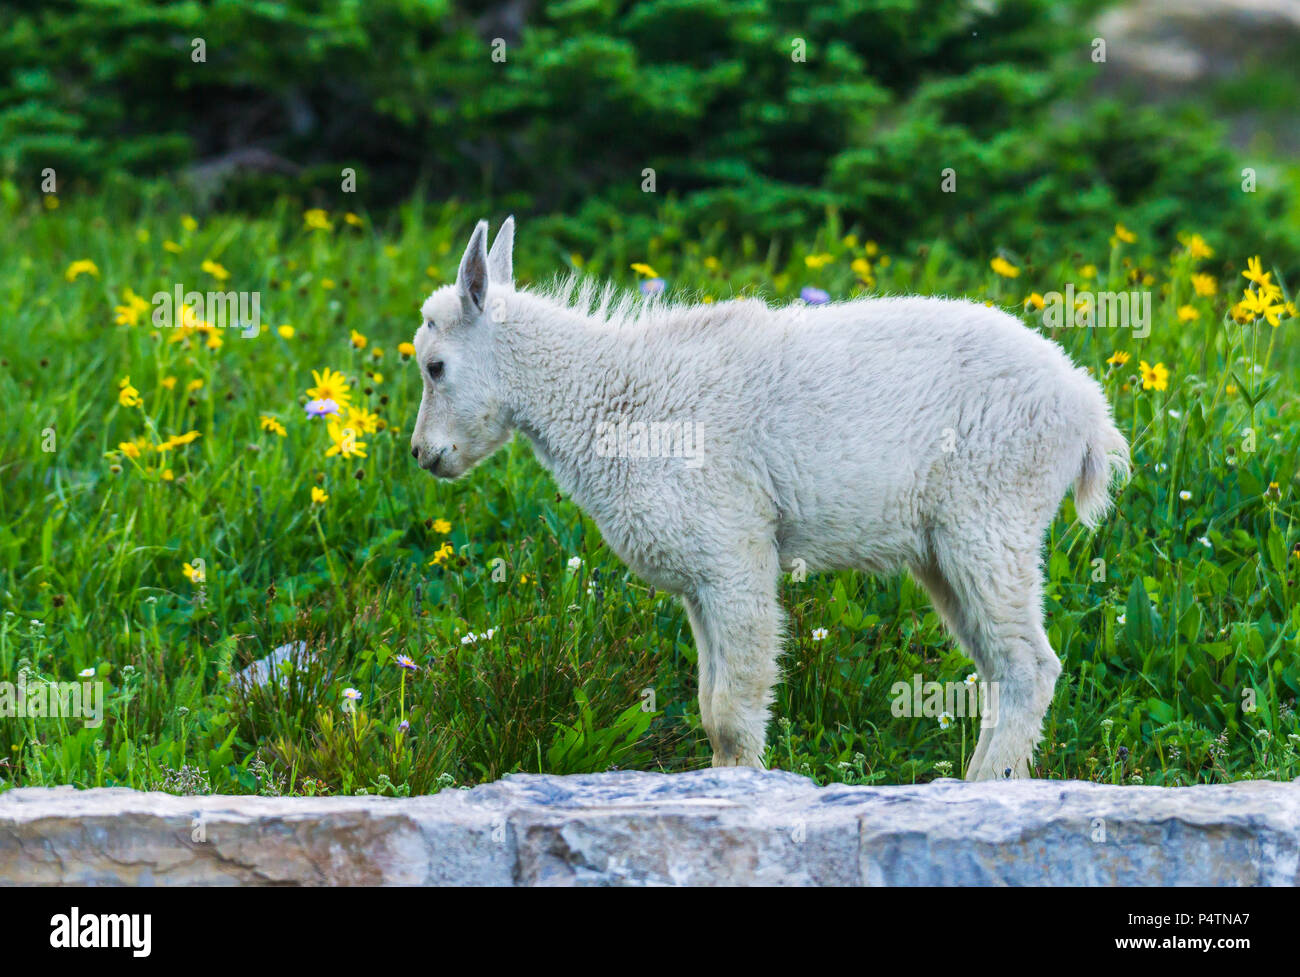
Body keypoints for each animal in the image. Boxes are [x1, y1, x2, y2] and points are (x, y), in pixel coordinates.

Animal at [413, 219, 1128, 779]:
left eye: (435, 365)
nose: (425, 455)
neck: (613, 399)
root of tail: (1088, 411)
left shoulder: (734, 551)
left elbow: (733, 710)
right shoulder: (700, 580)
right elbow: (709, 706)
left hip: (991, 521)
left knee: (1030, 667)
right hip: (944, 551)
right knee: (999, 670)